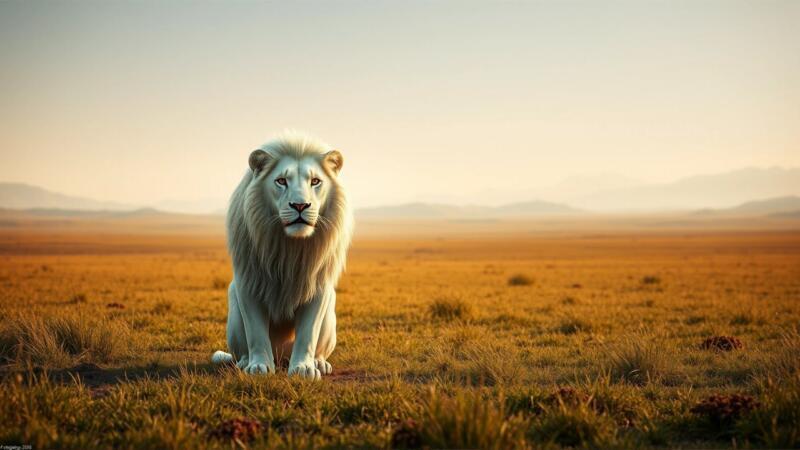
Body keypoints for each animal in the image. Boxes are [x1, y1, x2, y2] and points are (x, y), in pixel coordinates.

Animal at [211, 132, 353, 379]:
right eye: (281, 181)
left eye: (315, 181)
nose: (300, 205)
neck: (289, 247)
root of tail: (281, 358)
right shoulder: (248, 282)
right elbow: (256, 332)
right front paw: (258, 367)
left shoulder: (318, 287)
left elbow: (307, 334)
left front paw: (304, 369)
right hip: (233, 309)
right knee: (241, 351)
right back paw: (244, 363)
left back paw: (319, 363)